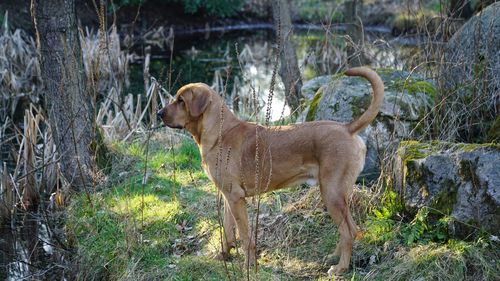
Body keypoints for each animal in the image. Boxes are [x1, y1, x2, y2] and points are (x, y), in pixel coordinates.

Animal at [158, 66, 384, 274]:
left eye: (181, 101)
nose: (159, 113)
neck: (219, 132)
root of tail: (347, 128)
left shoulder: (236, 197)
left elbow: (245, 237)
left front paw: (249, 266)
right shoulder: (228, 197)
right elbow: (228, 232)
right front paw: (223, 256)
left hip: (332, 193)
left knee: (350, 231)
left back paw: (340, 268)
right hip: (333, 194)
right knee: (346, 230)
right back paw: (334, 257)